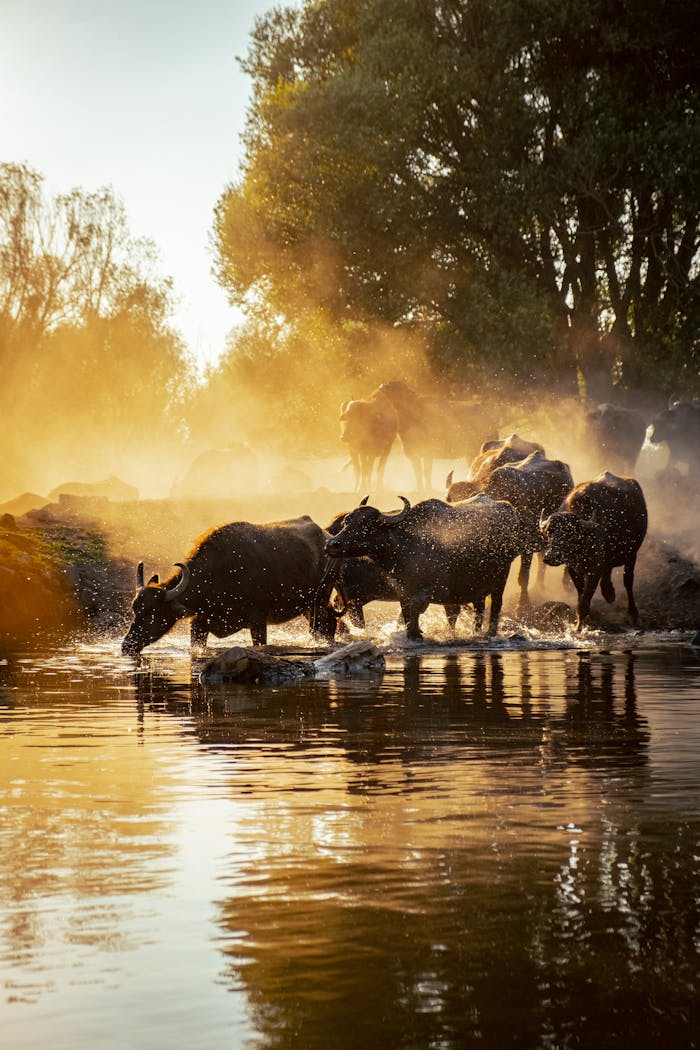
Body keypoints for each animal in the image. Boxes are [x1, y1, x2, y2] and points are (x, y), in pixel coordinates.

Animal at [121, 512, 335, 651]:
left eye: (153, 612)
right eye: (135, 609)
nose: (127, 645)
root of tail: (326, 536)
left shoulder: (258, 620)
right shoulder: (199, 624)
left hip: (319, 601)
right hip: (307, 607)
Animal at [323, 493, 520, 638]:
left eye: (367, 526)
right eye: (347, 521)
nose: (332, 544)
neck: (407, 544)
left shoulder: (430, 591)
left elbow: (417, 611)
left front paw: (417, 632)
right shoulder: (402, 592)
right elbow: (407, 616)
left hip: (500, 580)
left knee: (495, 606)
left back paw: (490, 633)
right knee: (477, 609)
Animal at [541, 474, 650, 630]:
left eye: (570, 533)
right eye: (550, 532)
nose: (550, 557)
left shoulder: (594, 569)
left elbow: (584, 600)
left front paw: (579, 626)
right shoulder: (573, 569)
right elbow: (581, 594)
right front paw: (587, 618)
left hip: (632, 554)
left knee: (628, 582)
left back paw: (633, 614)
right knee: (608, 571)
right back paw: (609, 593)